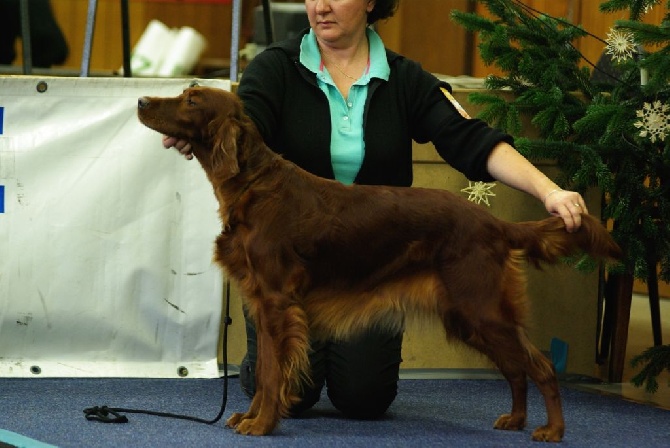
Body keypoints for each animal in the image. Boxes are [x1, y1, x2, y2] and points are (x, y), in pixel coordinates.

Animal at [138, 86, 624, 440]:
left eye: (192, 100)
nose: (141, 101)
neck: (255, 185)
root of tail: (493, 222)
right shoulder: (264, 303)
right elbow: (264, 372)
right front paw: (252, 417)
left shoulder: (277, 303)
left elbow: (273, 373)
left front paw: (262, 424)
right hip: (469, 316)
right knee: (515, 368)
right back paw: (516, 420)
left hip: (481, 308)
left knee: (539, 366)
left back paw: (552, 430)